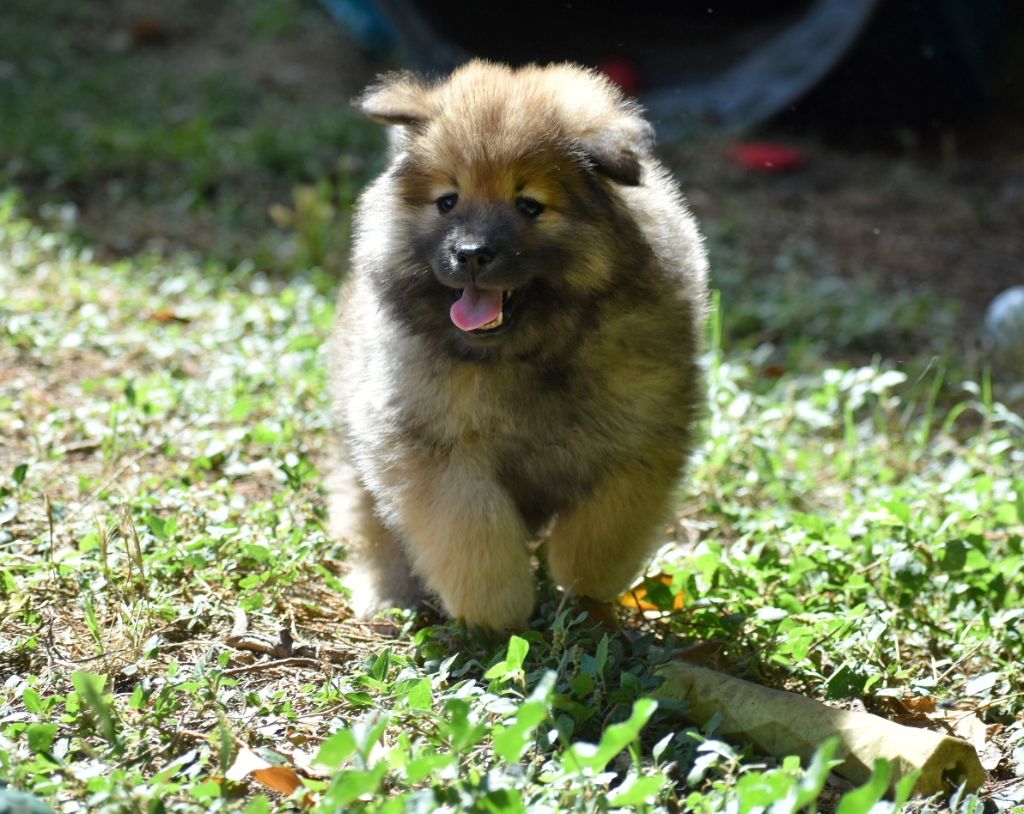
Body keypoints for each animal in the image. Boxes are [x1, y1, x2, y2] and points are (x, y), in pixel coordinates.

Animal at [327, 60, 708, 631]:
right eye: (448, 201)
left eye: (529, 206)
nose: (470, 253)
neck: (528, 355)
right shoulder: (435, 448)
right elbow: (472, 527)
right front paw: (497, 612)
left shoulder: (637, 442)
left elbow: (601, 533)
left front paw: (584, 592)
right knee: (375, 533)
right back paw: (388, 596)